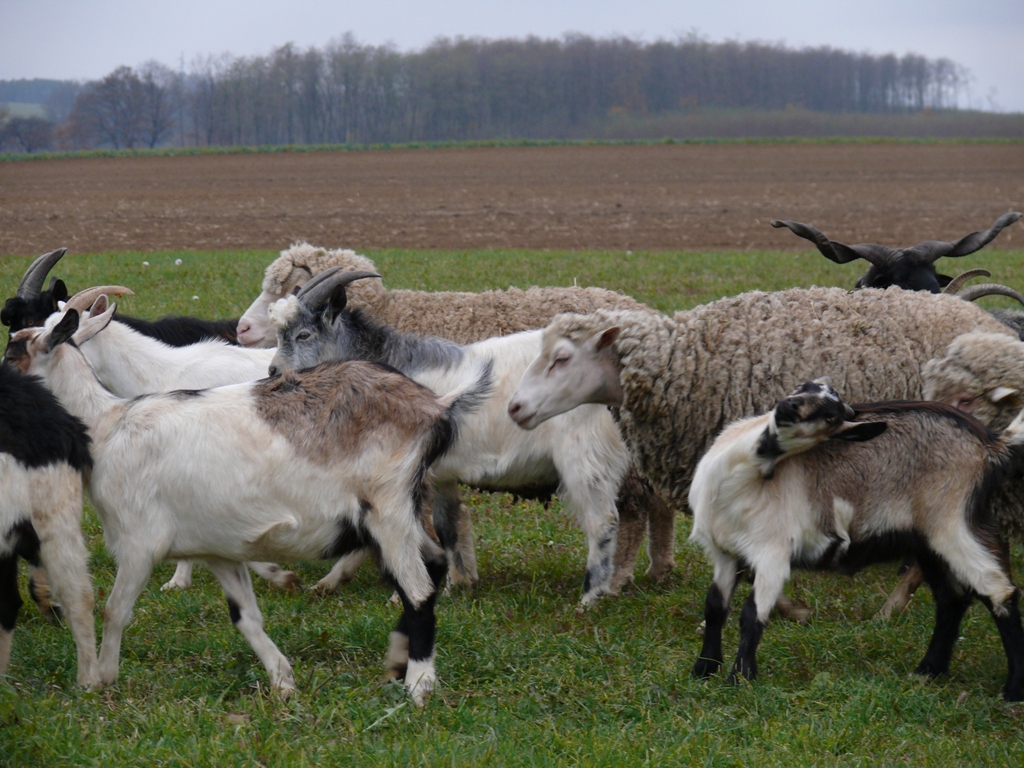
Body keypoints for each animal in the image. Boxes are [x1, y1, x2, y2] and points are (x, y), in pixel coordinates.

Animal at [237, 243, 676, 595]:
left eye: (304, 335)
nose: (274, 373)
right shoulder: (439, 473)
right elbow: (446, 526)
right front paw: (458, 582)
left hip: (593, 457)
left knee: (621, 515)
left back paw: (611, 585)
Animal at [687, 377, 1024, 700]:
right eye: (803, 387)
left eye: (830, 417)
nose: (790, 407)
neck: (744, 475)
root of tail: (991, 444)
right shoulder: (725, 553)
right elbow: (715, 607)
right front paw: (704, 669)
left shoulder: (772, 554)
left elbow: (751, 615)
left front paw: (739, 679)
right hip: (927, 541)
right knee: (952, 598)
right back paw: (928, 671)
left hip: (953, 522)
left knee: (998, 591)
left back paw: (1012, 690)